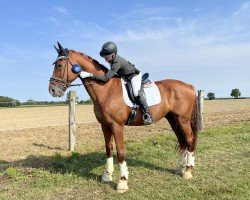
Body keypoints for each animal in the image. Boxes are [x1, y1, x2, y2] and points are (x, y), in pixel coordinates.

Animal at [49, 42, 201, 194]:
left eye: (59, 65)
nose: (52, 90)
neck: (106, 90)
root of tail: (189, 86)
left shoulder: (117, 126)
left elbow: (120, 152)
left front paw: (122, 182)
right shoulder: (105, 125)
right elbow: (109, 149)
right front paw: (107, 175)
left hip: (183, 120)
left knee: (189, 139)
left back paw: (188, 170)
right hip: (173, 119)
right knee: (182, 141)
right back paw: (181, 168)